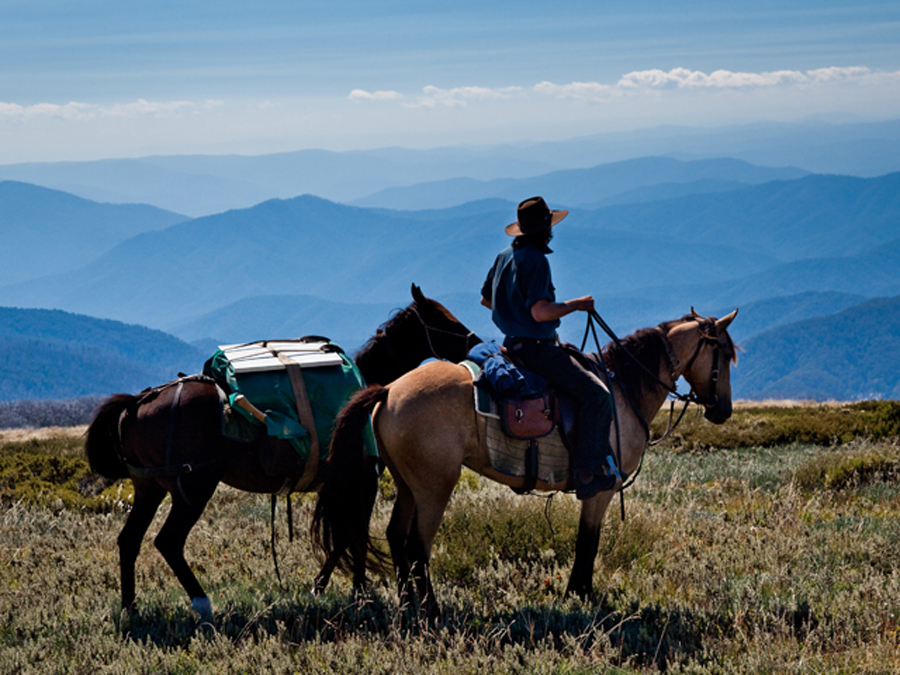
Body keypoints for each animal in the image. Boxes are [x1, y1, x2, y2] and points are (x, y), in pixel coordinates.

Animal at [84, 282, 478, 620]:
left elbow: (341, 538)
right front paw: (360, 594)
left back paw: (130, 609)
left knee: (129, 540)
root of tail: (136, 404)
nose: (475, 341)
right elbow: (352, 536)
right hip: (193, 488)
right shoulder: (361, 480)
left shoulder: (342, 484)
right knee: (168, 542)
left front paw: (322, 588)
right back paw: (202, 604)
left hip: (149, 488)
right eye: (444, 320)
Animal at [316, 308, 740, 616]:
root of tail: (388, 390)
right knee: (417, 545)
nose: (723, 410)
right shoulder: (599, 490)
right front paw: (581, 595)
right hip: (434, 488)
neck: (623, 388)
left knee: (395, 535)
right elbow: (588, 543)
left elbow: (586, 542)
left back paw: (408, 603)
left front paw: (577, 594)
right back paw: (432, 609)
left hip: (408, 486)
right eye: (724, 353)